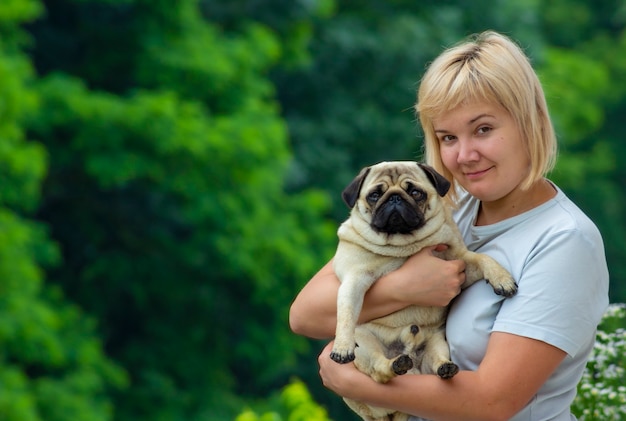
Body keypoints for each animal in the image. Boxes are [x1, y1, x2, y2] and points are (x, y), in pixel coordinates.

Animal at [330, 161, 516, 420]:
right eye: (374, 195)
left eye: (416, 192)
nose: (395, 198)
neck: (404, 246)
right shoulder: (354, 279)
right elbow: (346, 313)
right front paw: (341, 346)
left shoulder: (459, 262)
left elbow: (483, 258)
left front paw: (501, 278)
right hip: (366, 344)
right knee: (379, 370)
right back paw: (395, 364)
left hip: (437, 343)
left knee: (436, 365)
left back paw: (444, 368)